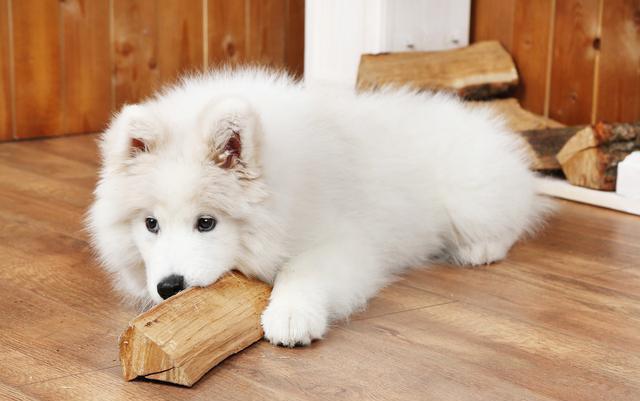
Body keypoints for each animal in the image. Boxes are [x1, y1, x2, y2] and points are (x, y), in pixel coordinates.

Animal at [89, 67, 552, 346]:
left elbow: (302, 271)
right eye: (150, 224)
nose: (169, 287)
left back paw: (480, 249)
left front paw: (291, 316)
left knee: (513, 216)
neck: (287, 189)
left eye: (206, 223)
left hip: (471, 199)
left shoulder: (345, 244)